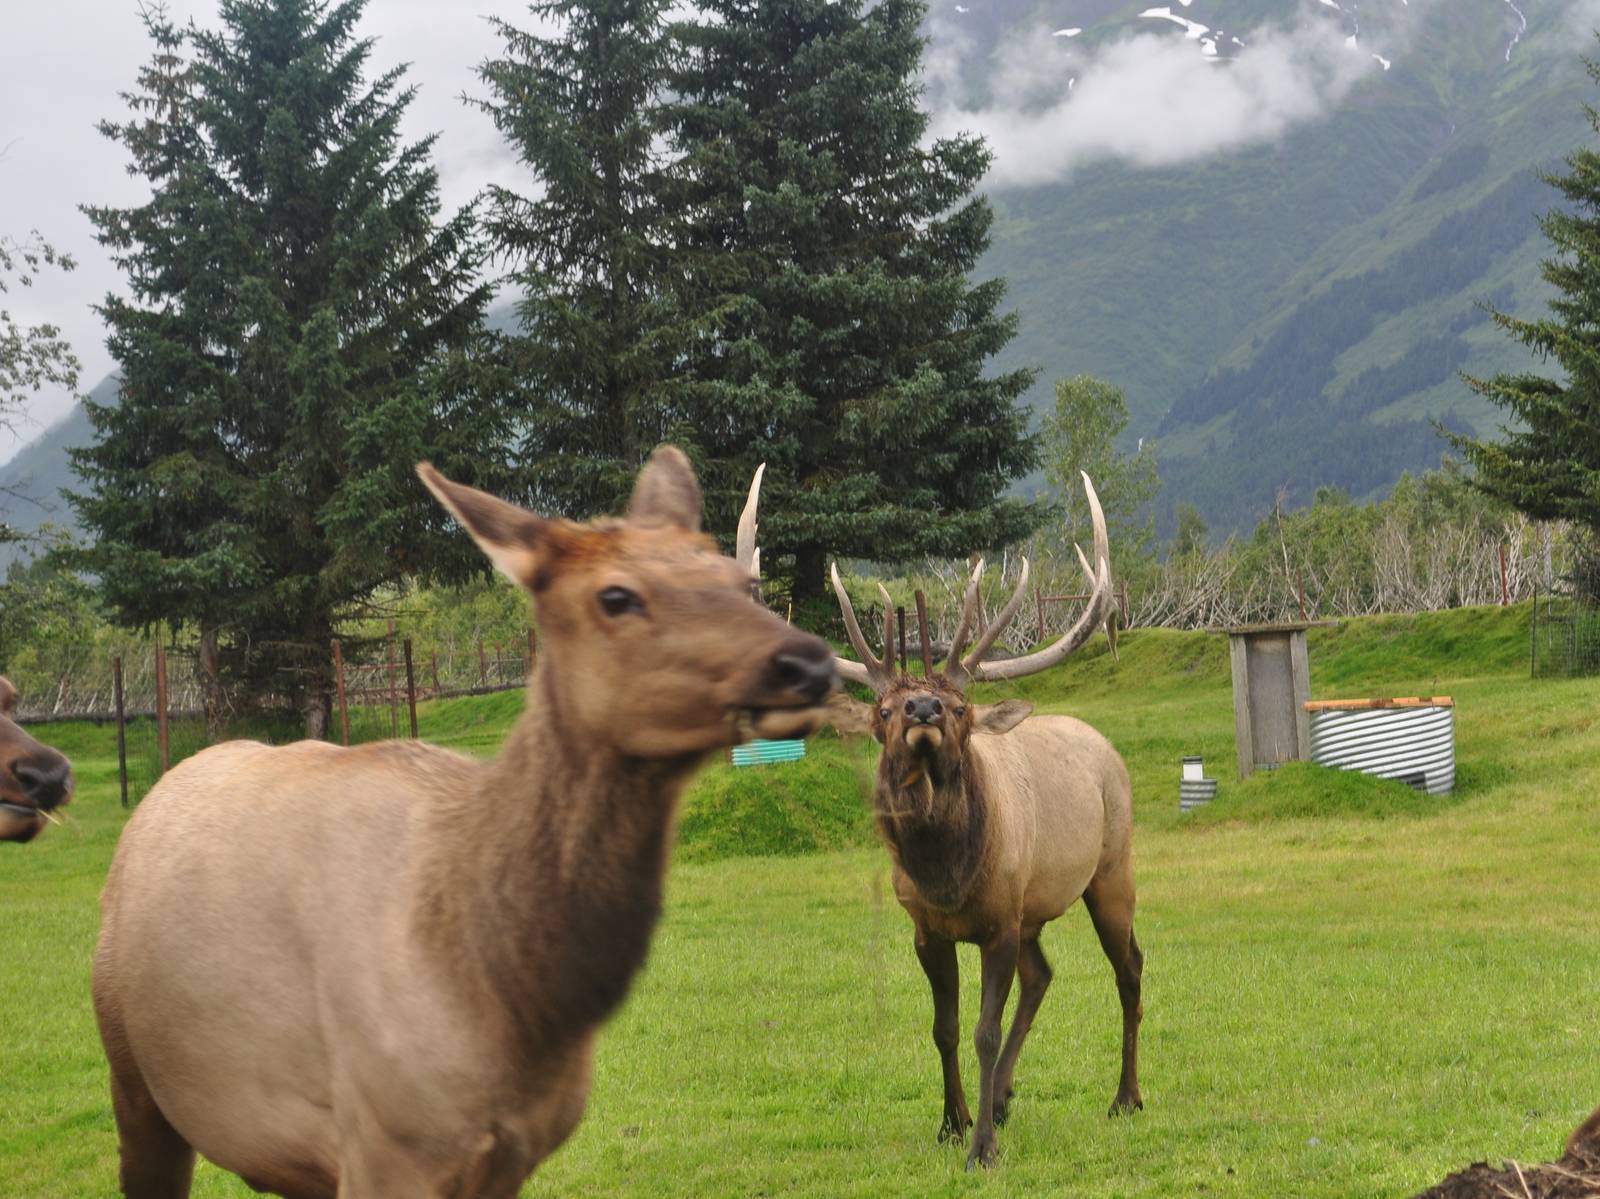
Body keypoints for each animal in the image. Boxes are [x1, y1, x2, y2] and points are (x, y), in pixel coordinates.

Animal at [91, 447, 837, 1199]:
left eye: (743, 581)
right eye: (615, 596)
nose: (808, 662)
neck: (509, 1008)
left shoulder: (513, 1153)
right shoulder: (381, 1145)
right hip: (133, 1074)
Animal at [826, 474, 1141, 1170]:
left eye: (960, 706)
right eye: (882, 711)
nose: (921, 707)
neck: (950, 878)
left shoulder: (999, 921)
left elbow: (984, 1032)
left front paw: (982, 1149)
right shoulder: (928, 929)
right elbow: (944, 1029)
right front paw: (954, 1121)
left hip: (1111, 869)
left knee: (1129, 968)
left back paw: (1126, 1097)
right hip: (1035, 911)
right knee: (1043, 975)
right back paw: (1002, 1099)